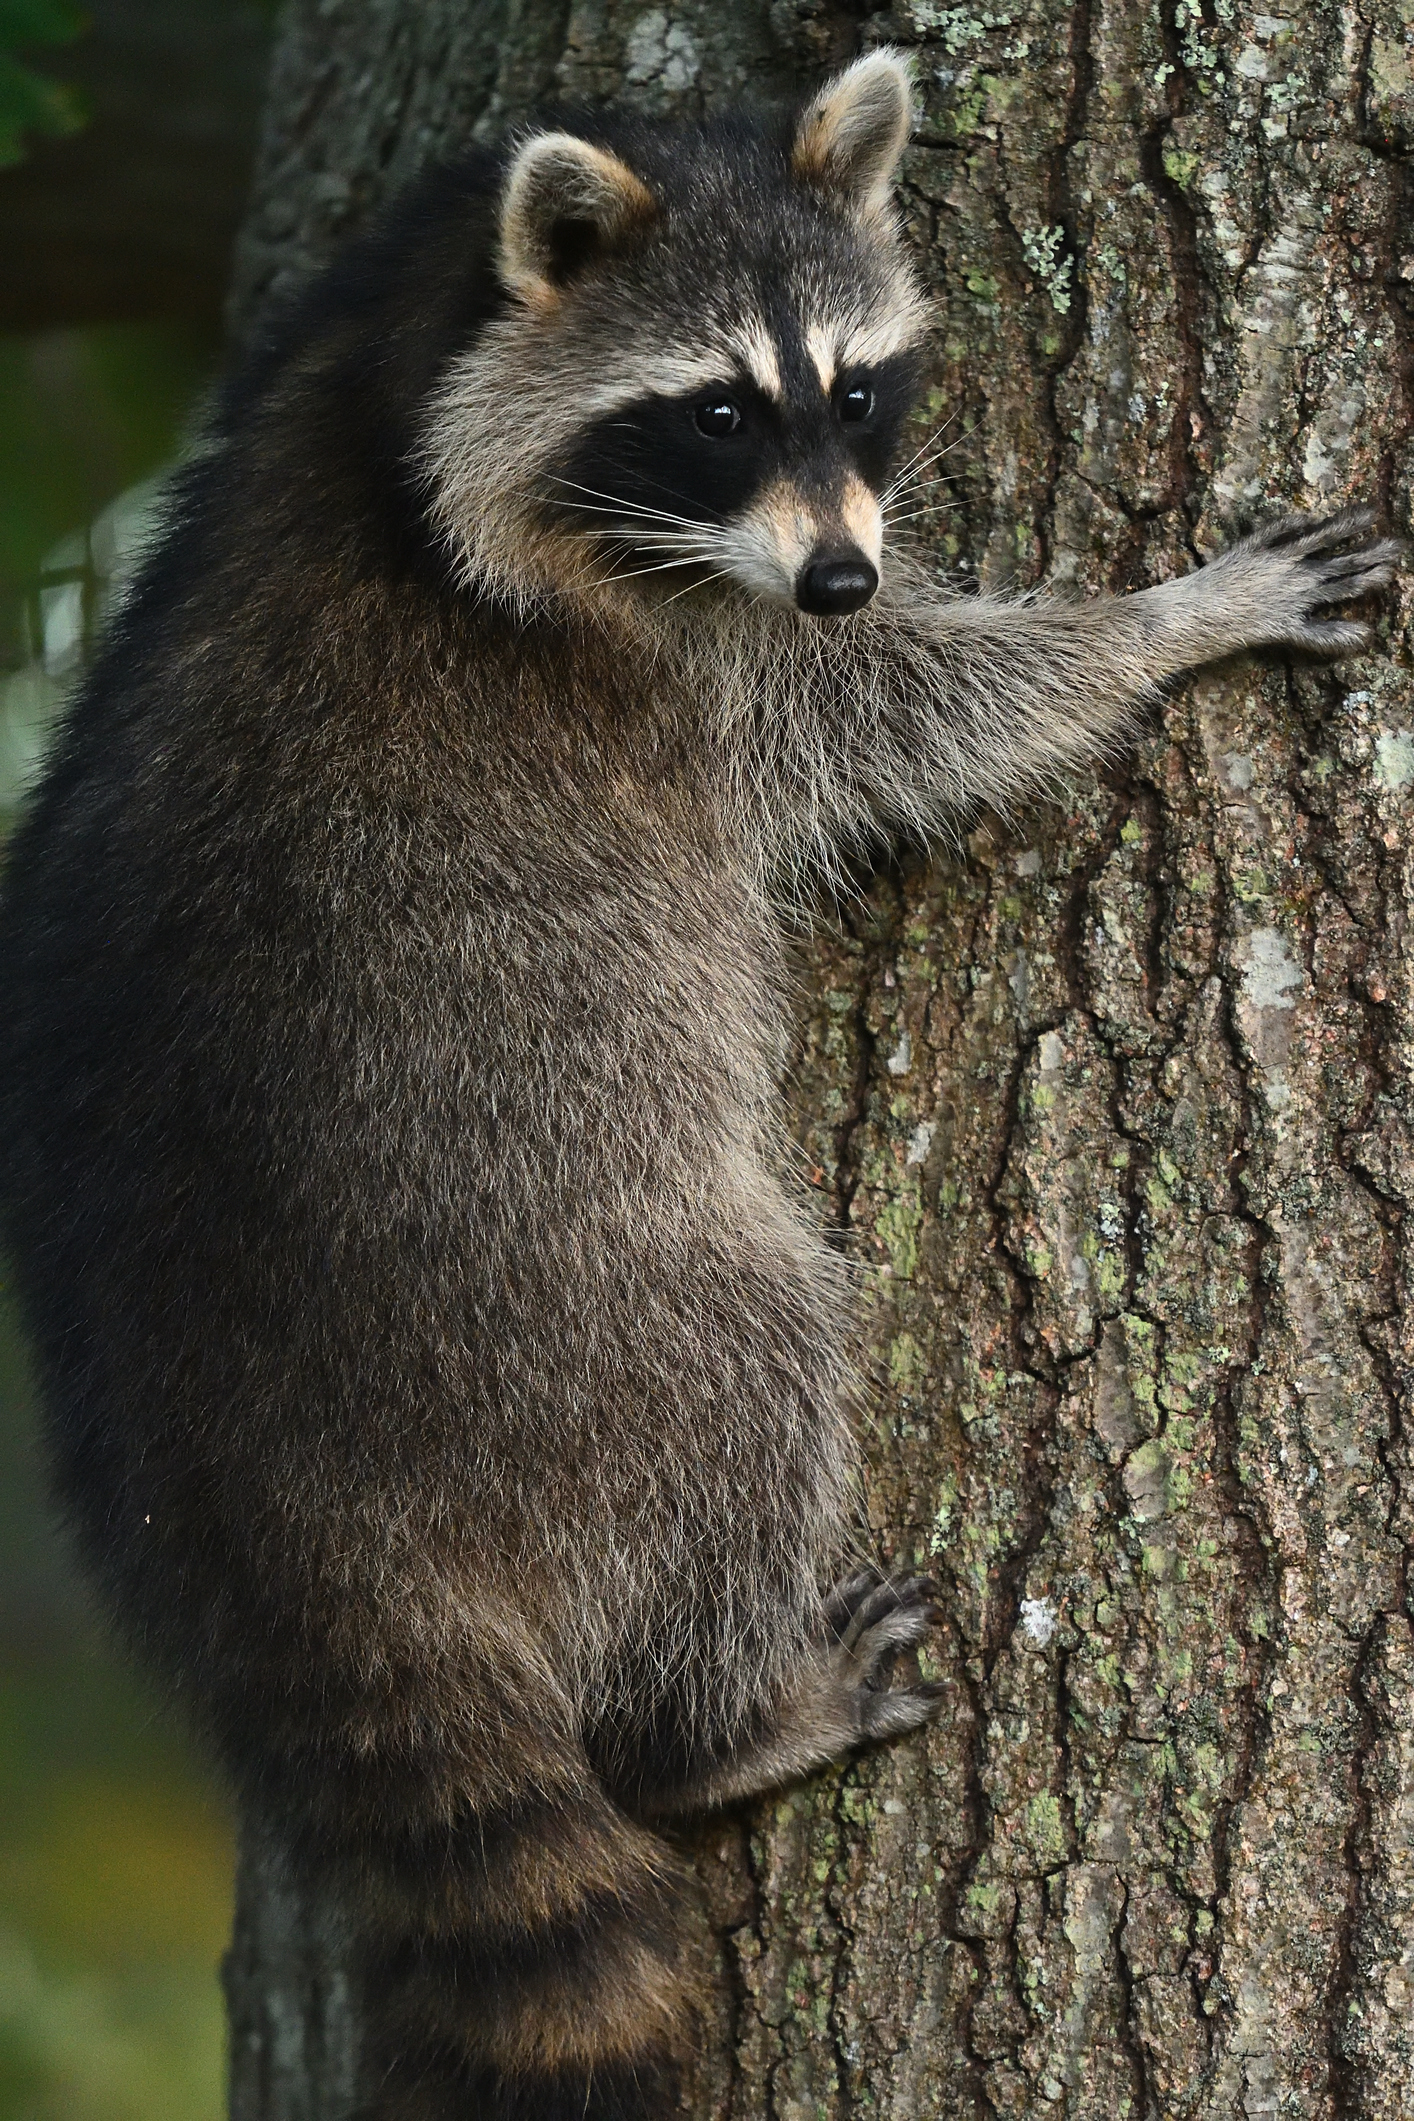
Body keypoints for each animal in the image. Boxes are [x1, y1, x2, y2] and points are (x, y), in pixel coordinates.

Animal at [0, 45, 1399, 2121]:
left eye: (856, 390)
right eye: (715, 413)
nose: (838, 570)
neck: (400, 378)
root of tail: (264, 1479)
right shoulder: (677, 664)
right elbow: (897, 715)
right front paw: (1158, 620)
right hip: (569, 1308)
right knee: (748, 1370)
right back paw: (726, 1714)